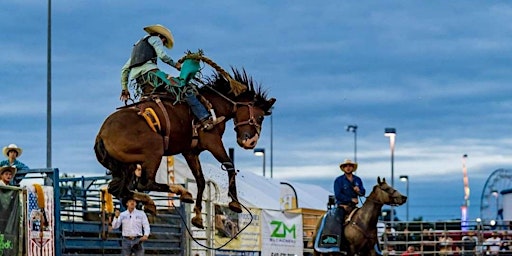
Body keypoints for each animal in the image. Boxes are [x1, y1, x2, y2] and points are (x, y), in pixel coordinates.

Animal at [92, 67, 276, 228]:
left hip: (126, 165)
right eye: (260, 117)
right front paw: (235, 203)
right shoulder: (213, 142)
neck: (213, 105)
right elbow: (229, 165)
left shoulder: (190, 151)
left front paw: (198, 217)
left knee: (119, 189)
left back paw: (153, 202)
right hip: (154, 151)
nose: (250, 142)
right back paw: (181, 192)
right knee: (145, 183)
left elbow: (200, 179)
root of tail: (102, 134)